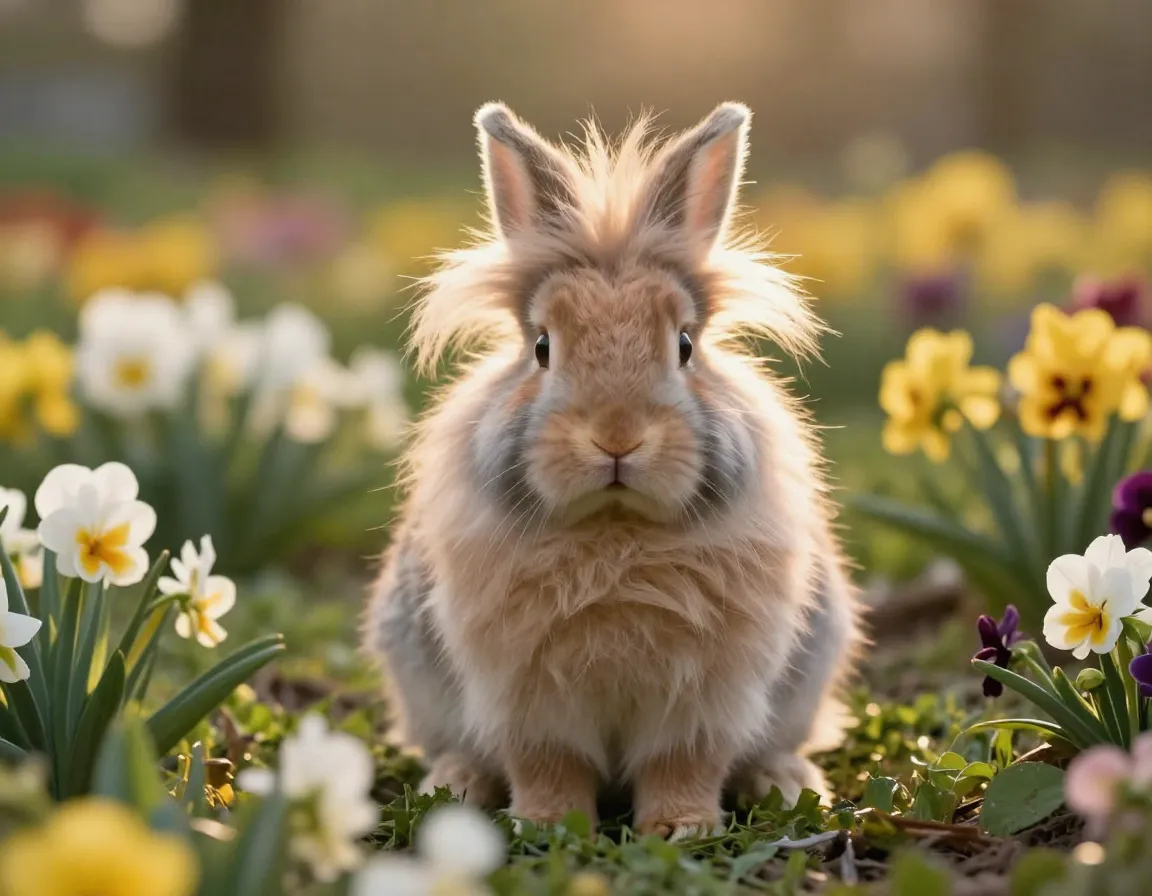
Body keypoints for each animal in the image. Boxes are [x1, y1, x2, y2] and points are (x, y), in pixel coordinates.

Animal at [362, 101, 862, 840]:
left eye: (684, 345)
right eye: (542, 347)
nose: (617, 438)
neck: (616, 532)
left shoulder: (703, 702)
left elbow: (684, 765)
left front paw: (682, 828)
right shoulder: (527, 700)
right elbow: (549, 765)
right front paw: (547, 825)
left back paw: (786, 782)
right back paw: (456, 784)